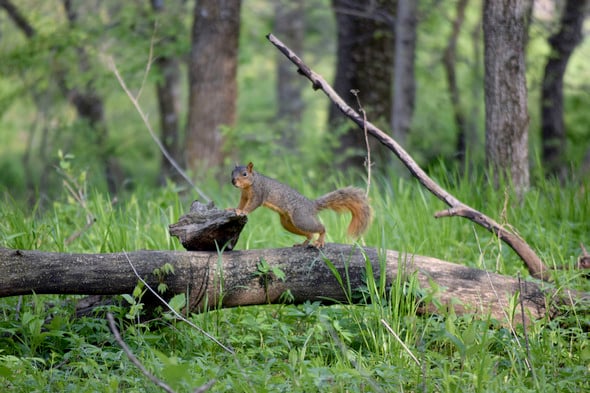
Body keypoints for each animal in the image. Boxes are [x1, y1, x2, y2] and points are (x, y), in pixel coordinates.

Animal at [230, 161, 372, 247]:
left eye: (245, 174)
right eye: (232, 172)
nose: (233, 181)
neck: (250, 184)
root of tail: (311, 205)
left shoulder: (259, 193)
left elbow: (252, 205)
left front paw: (243, 211)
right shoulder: (244, 196)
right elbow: (241, 203)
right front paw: (235, 208)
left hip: (301, 218)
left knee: (321, 228)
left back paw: (320, 241)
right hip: (289, 224)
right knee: (310, 234)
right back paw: (303, 244)